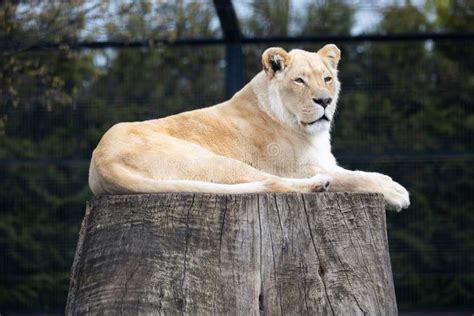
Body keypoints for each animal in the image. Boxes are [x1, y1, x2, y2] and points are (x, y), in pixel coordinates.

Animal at [90, 43, 412, 211]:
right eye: (299, 80)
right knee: (272, 183)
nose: (324, 100)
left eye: (327, 78)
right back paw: (318, 185)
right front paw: (394, 191)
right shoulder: (297, 167)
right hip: (213, 160)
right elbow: (352, 177)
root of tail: (101, 163)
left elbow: (354, 171)